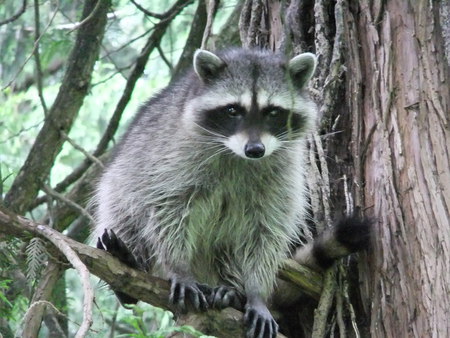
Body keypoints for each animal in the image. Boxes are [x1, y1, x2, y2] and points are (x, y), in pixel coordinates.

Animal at [93, 48, 370, 338]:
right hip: (123, 179)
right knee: (125, 209)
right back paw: (129, 263)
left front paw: (255, 292)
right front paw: (179, 267)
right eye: (233, 110)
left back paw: (232, 290)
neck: (237, 154)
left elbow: (267, 230)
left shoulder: (284, 172)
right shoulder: (173, 159)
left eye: (273, 112)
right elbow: (168, 209)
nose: (255, 150)